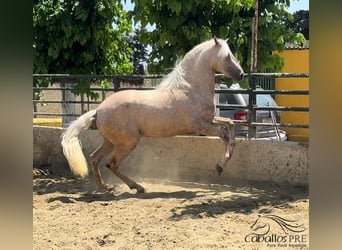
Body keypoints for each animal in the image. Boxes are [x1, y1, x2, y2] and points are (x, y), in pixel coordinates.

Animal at [60, 37, 243, 193]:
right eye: (227, 56)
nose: (240, 74)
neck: (190, 89)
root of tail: (98, 110)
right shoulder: (200, 126)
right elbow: (224, 134)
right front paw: (219, 166)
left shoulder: (209, 120)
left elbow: (230, 124)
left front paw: (222, 164)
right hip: (128, 142)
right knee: (111, 164)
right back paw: (137, 187)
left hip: (111, 142)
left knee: (94, 158)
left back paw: (104, 187)